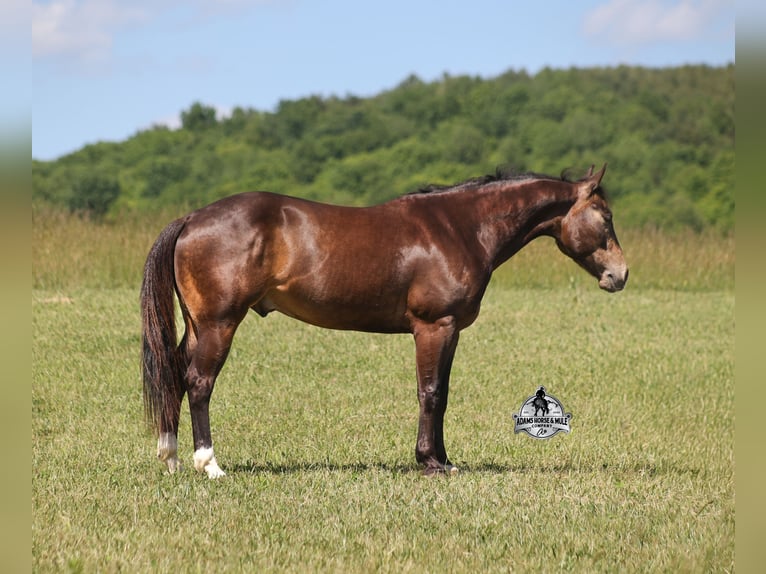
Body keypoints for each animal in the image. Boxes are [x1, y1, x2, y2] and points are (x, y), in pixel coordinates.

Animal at [141, 164, 628, 478]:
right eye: (605, 217)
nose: (619, 275)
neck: (460, 228)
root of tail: (192, 218)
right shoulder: (434, 326)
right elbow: (431, 392)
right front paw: (431, 462)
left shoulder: (448, 331)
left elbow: (441, 394)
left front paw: (443, 459)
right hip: (220, 324)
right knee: (199, 382)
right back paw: (209, 464)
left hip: (198, 326)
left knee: (175, 374)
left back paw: (171, 458)